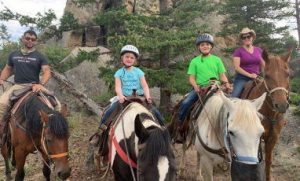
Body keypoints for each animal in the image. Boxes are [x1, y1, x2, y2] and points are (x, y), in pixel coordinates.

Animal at [240, 49, 292, 181]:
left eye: (287, 74)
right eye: (267, 76)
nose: (281, 105)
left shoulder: (273, 138)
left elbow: (268, 161)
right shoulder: (257, 137)